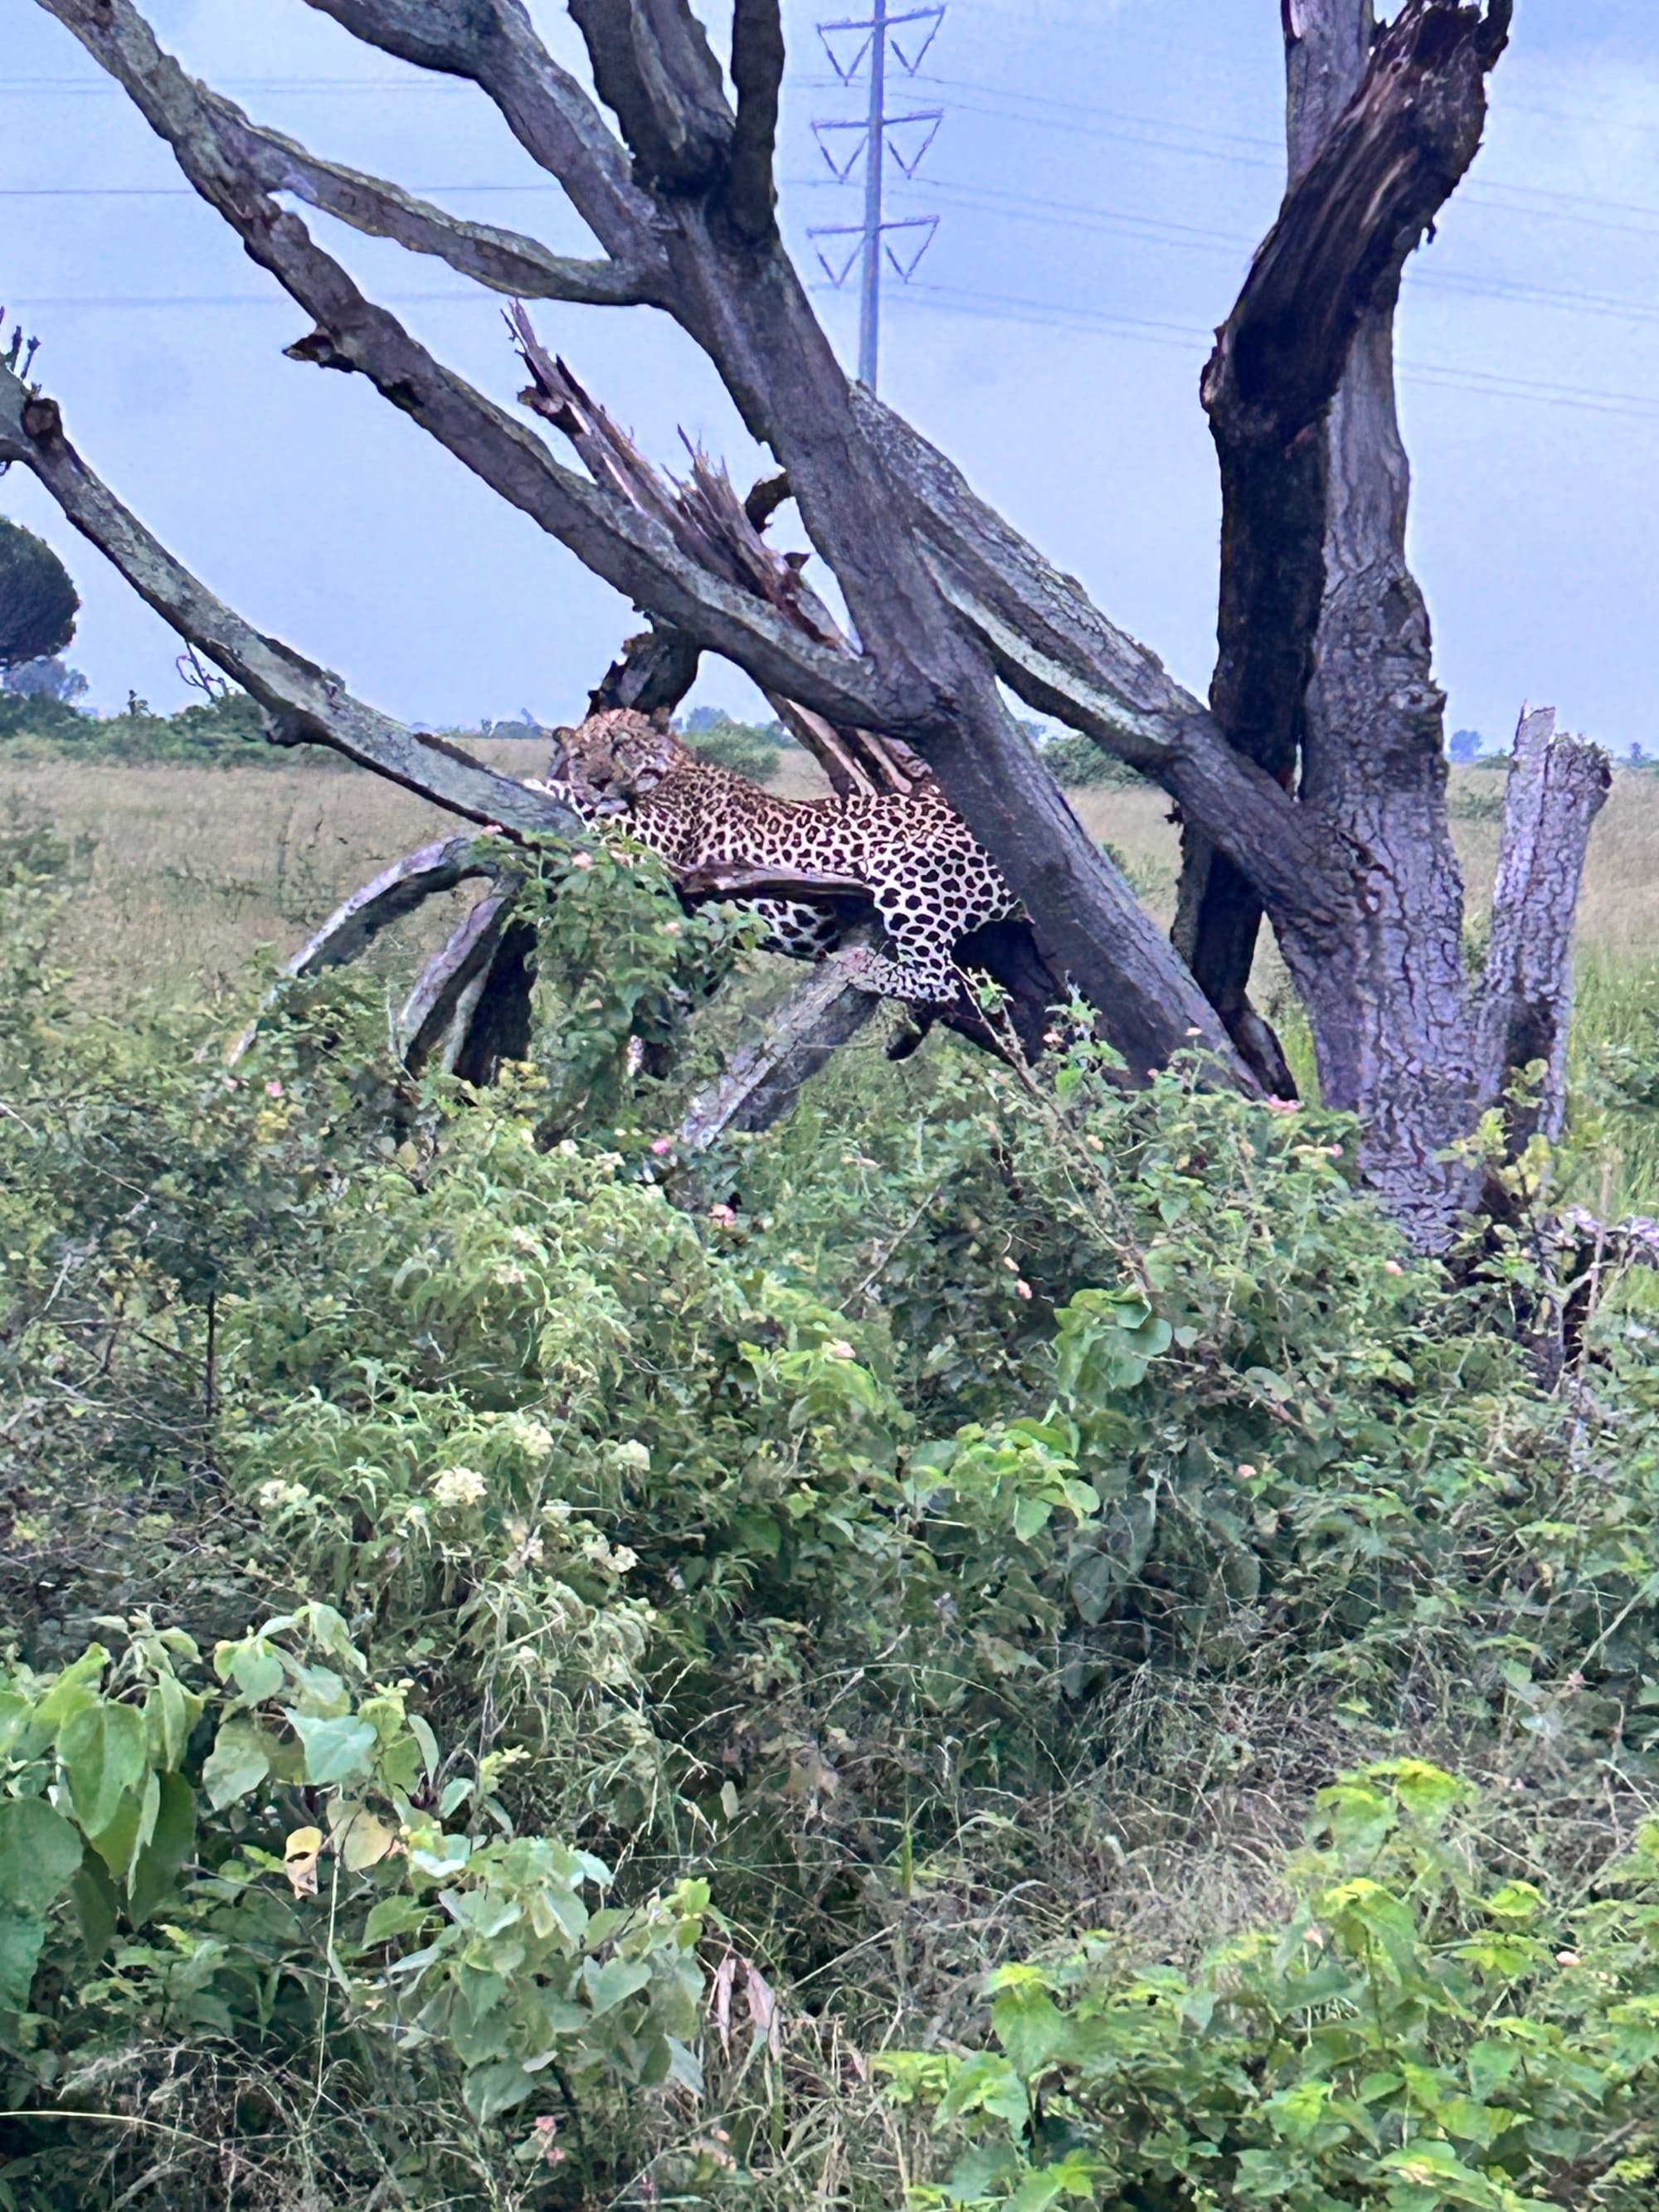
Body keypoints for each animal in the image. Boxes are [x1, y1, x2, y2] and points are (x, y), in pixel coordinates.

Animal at [533, 708, 1017, 1006]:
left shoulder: (651, 834)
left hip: (905, 867)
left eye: (620, 745)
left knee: (939, 981)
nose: (598, 779)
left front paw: (543, 785)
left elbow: (597, 811)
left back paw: (860, 967)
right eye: (581, 755)